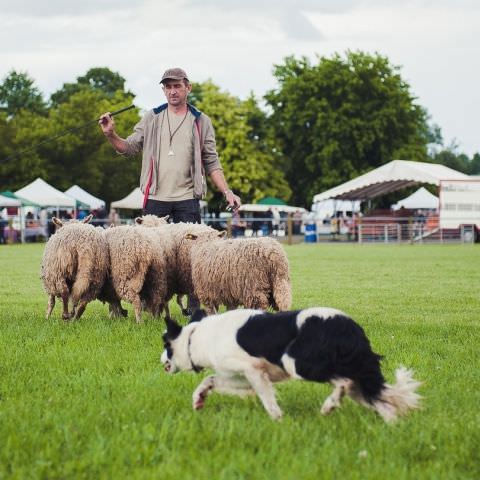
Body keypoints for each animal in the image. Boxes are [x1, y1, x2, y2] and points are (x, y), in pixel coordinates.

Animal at [160, 308, 420, 420]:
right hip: (359, 381)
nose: (160, 360)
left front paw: (277, 420)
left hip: (300, 363)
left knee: (344, 382)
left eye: (165, 344)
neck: (197, 336)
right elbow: (210, 379)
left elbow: (267, 400)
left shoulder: (254, 371)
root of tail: (349, 327)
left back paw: (328, 406)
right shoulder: (242, 376)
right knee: (383, 404)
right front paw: (199, 398)